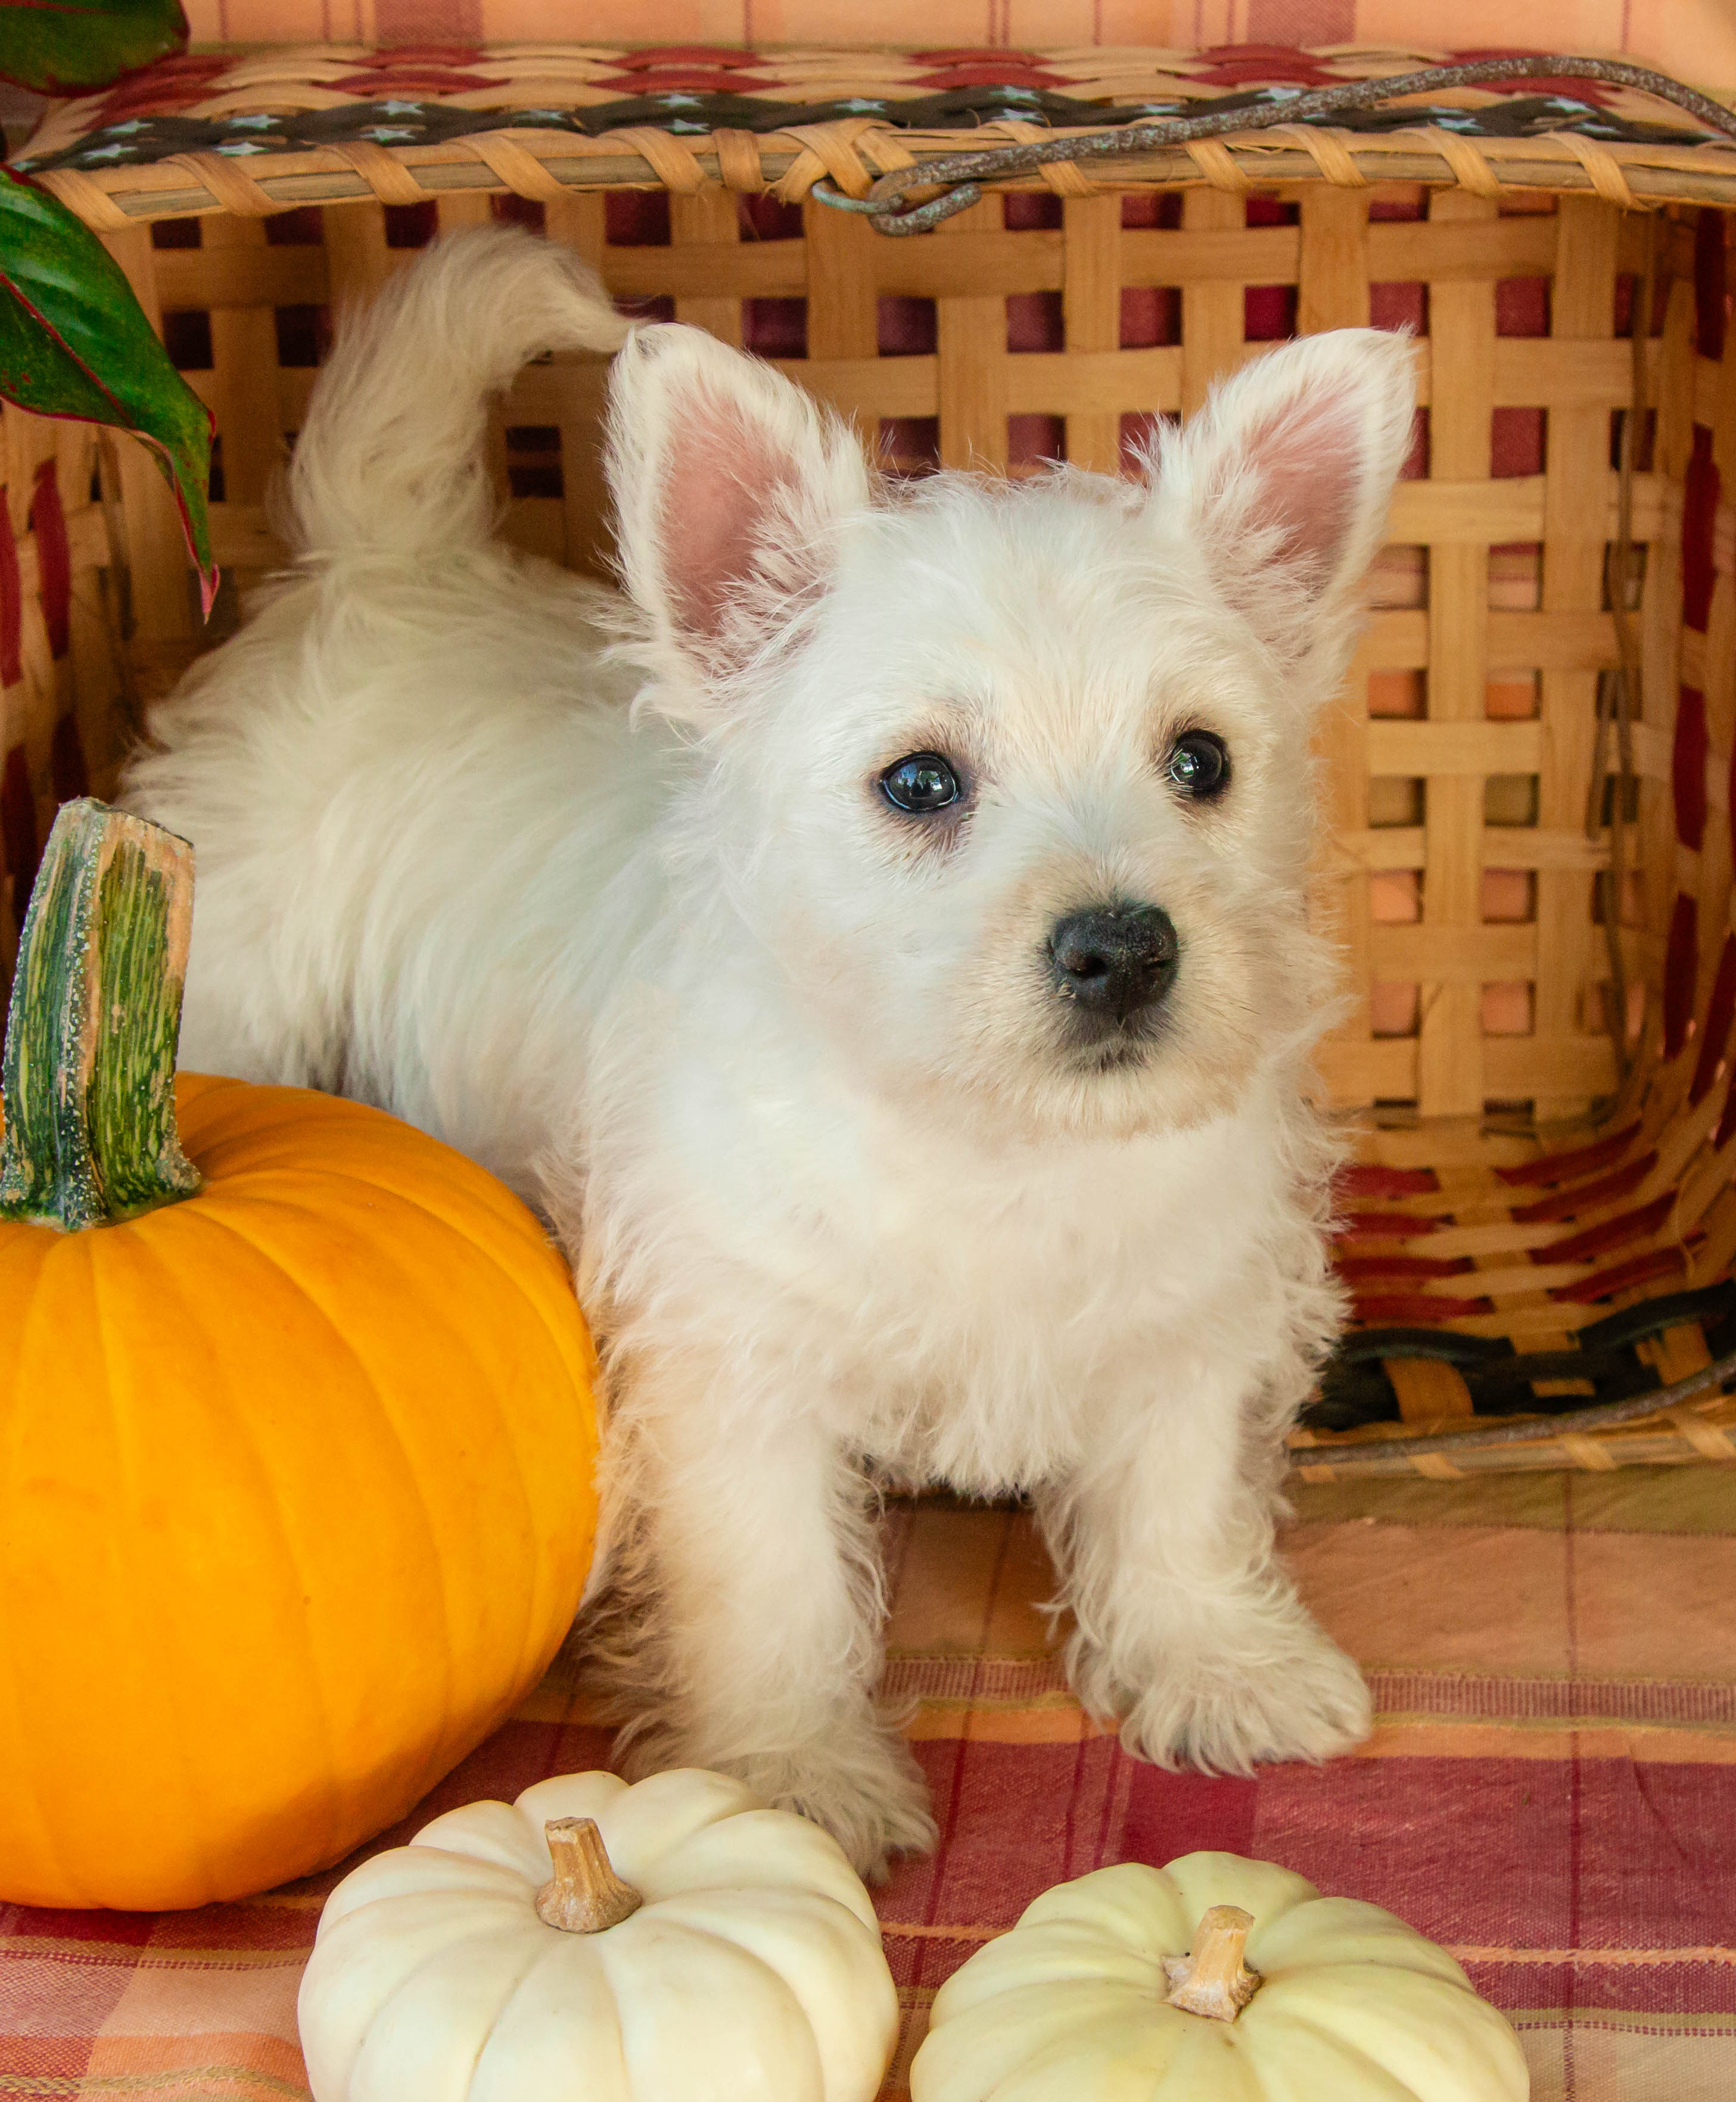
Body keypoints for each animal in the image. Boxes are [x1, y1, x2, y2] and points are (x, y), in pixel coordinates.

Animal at [129, 226, 1412, 1874]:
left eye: (1201, 761)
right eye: (919, 782)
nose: (1123, 949)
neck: (988, 1141)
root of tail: (382, 565)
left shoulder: (1185, 1313)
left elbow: (1176, 1500)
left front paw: (1220, 1667)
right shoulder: (731, 1366)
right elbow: (772, 1578)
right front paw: (787, 1778)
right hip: (226, 977)